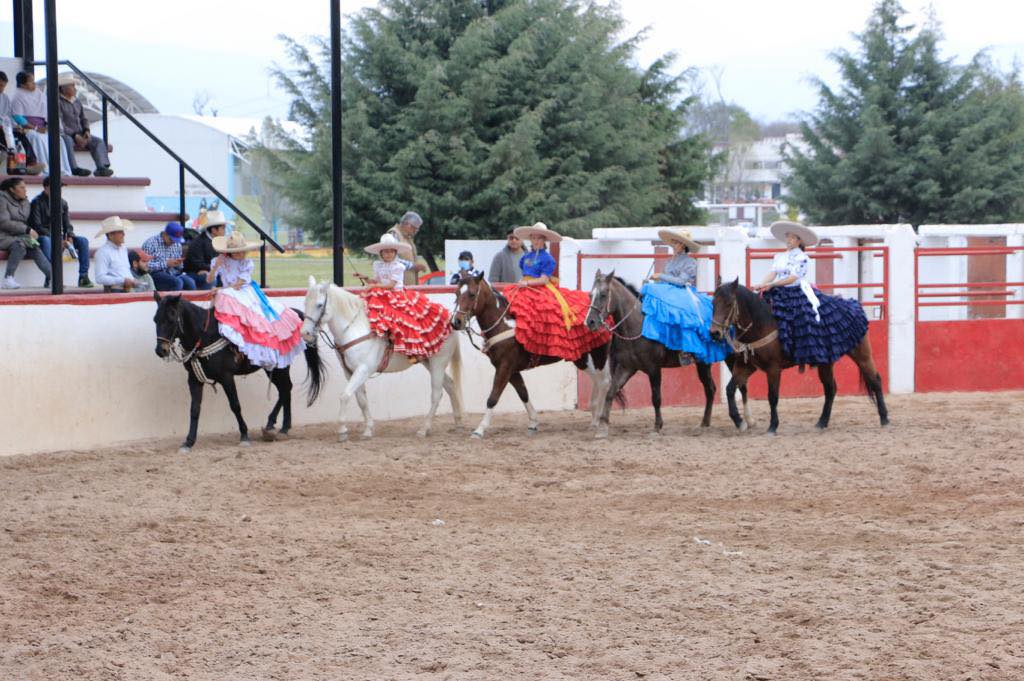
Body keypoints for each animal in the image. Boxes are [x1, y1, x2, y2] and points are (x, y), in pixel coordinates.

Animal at [151, 292, 323, 450]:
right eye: (155, 319)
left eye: (171, 318)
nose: (161, 350)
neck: (205, 336)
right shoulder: (194, 379)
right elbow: (194, 409)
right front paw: (189, 441)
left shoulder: (226, 377)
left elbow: (235, 405)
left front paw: (244, 435)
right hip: (271, 368)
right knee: (285, 389)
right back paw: (277, 426)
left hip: (280, 367)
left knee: (286, 388)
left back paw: (280, 426)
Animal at [299, 276, 464, 440]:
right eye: (305, 303)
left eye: (319, 305)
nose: (305, 333)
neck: (354, 329)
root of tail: (451, 319)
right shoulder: (350, 371)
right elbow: (361, 400)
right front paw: (368, 429)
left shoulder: (363, 369)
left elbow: (345, 396)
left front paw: (342, 431)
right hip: (428, 362)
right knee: (450, 385)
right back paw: (458, 423)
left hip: (438, 362)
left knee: (436, 394)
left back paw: (424, 429)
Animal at [452, 270, 610, 436]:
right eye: (456, 293)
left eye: (472, 294)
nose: (456, 322)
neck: (504, 324)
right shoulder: (511, 370)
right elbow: (523, 392)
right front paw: (533, 422)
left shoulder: (504, 367)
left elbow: (493, 397)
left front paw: (480, 429)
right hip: (581, 358)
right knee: (598, 382)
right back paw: (594, 419)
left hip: (597, 355)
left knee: (604, 382)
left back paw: (598, 420)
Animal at [585, 270, 729, 436]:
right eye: (590, 294)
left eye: (603, 294)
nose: (590, 322)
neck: (638, 324)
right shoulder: (626, 367)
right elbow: (611, 392)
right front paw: (602, 427)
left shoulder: (654, 369)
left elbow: (656, 397)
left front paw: (657, 426)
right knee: (710, 389)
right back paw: (704, 423)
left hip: (705, 363)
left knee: (711, 389)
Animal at [712, 278, 888, 432]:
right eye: (713, 303)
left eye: (729, 304)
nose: (714, 333)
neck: (761, 323)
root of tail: (855, 305)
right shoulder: (746, 366)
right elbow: (730, 389)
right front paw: (739, 421)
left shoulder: (773, 368)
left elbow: (772, 396)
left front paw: (772, 426)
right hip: (826, 362)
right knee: (830, 389)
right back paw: (822, 422)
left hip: (862, 354)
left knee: (875, 380)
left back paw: (884, 419)